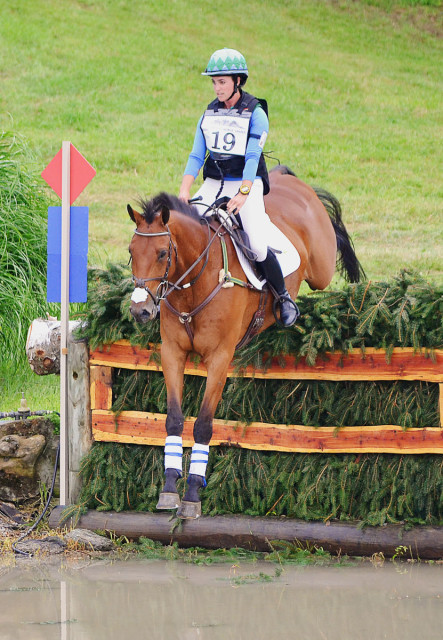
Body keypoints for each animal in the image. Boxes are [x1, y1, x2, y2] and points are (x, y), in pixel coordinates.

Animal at [127, 162, 364, 516]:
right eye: (131, 252)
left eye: (162, 253)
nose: (140, 310)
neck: (195, 281)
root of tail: (290, 180)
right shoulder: (173, 353)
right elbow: (173, 420)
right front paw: (169, 490)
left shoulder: (219, 358)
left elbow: (203, 424)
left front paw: (192, 496)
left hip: (320, 269)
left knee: (327, 254)